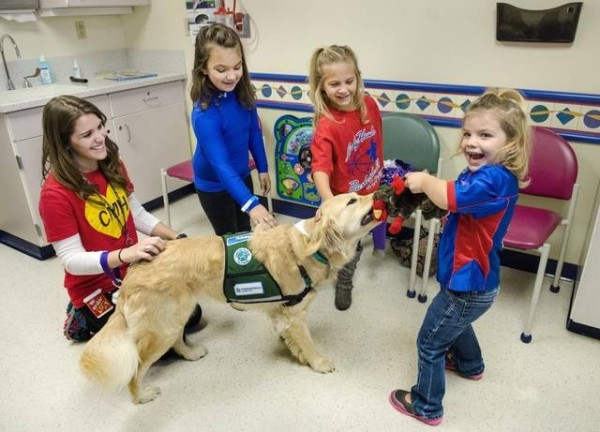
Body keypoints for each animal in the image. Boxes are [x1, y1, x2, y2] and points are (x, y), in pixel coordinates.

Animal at [81, 191, 380, 404]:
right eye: (353, 200)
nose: (380, 192)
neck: (307, 248)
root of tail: (134, 268)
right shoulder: (294, 315)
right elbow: (308, 343)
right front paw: (318, 363)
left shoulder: (283, 313)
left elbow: (289, 337)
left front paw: (290, 348)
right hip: (161, 327)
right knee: (137, 368)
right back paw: (142, 396)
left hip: (177, 316)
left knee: (177, 341)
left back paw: (191, 353)